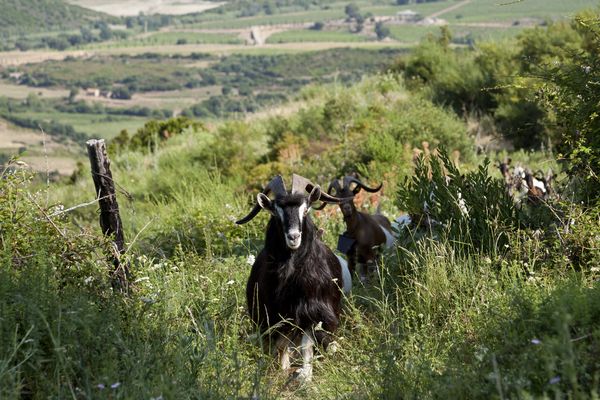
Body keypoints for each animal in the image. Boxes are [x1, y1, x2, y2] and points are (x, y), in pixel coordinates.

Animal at [237, 175, 352, 382]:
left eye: (306, 209)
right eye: (276, 212)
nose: (293, 237)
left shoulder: (313, 312)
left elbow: (306, 344)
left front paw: (305, 376)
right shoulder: (276, 314)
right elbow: (281, 344)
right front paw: (283, 368)